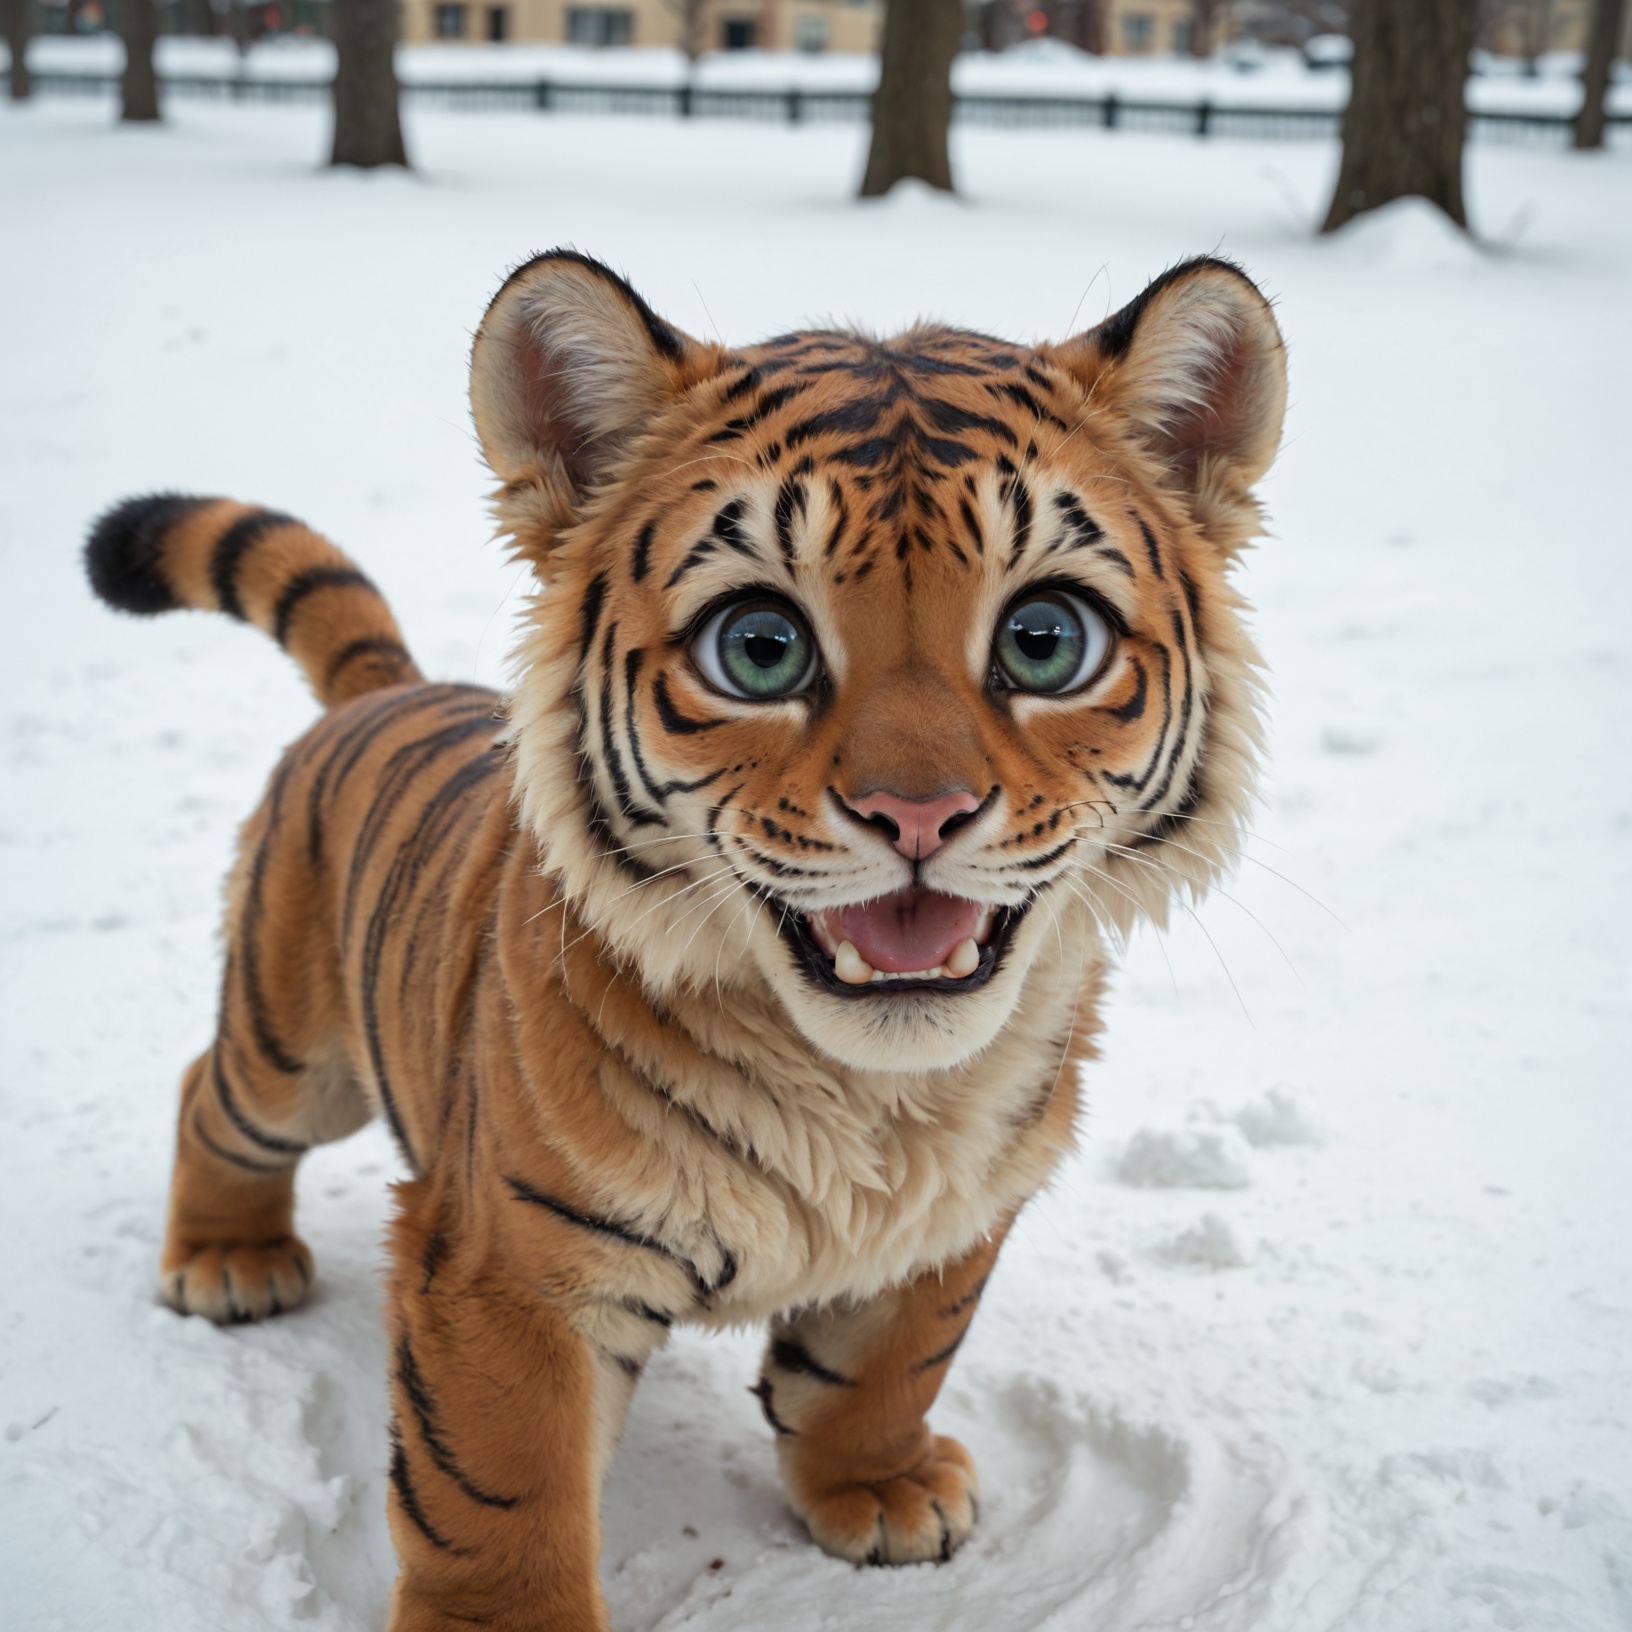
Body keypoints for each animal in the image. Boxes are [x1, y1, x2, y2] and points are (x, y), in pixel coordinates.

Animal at [83, 249, 1286, 1632]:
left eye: (1045, 639)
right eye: (761, 649)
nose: (918, 815)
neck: (871, 1101)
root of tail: (391, 687)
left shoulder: (953, 1224)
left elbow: (888, 1368)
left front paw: (880, 1491)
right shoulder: (506, 1265)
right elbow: (496, 1487)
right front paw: (505, 1623)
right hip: (296, 1053)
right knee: (208, 1096)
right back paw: (229, 1262)